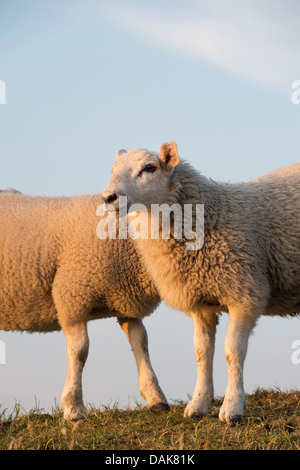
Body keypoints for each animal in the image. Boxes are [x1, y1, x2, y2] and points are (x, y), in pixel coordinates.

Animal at [0, 190, 169, 418]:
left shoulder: (127, 302)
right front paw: (73, 407)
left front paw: (155, 397)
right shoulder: (72, 297)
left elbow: (141, 342)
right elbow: (80, 351)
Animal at [102, 141, 300, 424]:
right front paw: (199, 404)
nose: (108, 198)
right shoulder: (201, 302)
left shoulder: (245, 292)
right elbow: (202, 353)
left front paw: (232, 408)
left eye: (149, 168)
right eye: (113, 169)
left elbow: (232, 351)